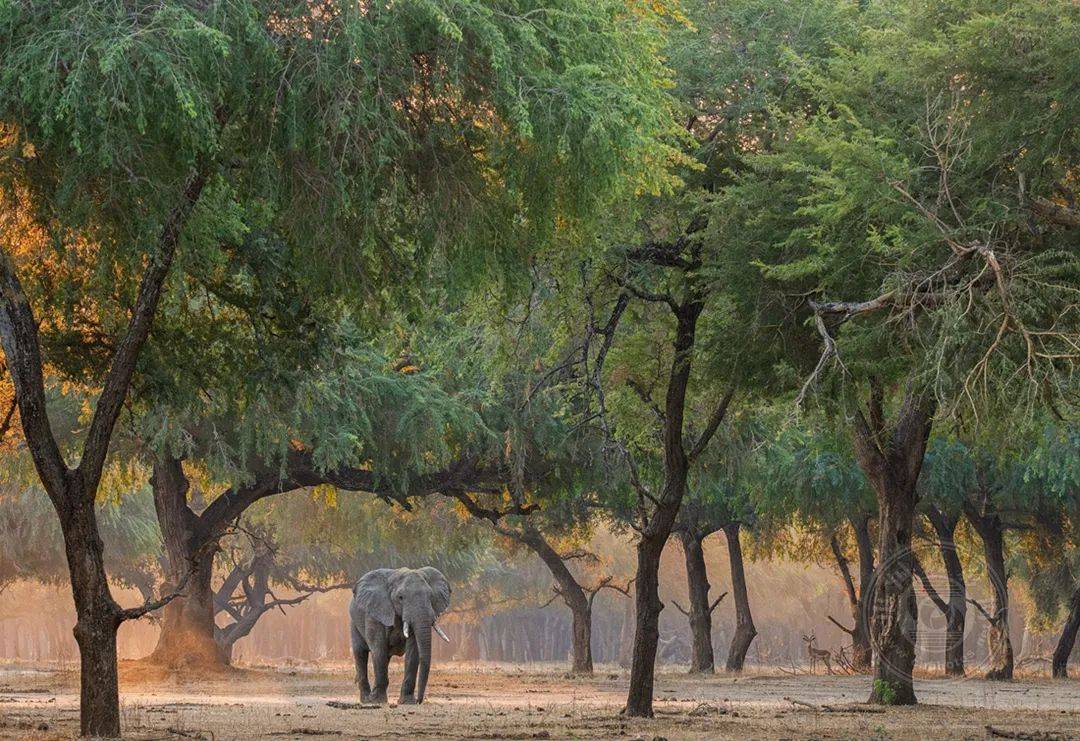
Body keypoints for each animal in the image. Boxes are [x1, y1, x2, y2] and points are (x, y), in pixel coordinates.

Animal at [345, 566, 447, 704]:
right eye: (400, 597)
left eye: (431, 596)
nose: (419, 701)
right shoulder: (375, 612)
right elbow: (378, 649)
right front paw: (378, 701)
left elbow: (413, 652)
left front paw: (407, 702)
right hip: (354, 623)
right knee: (360, 653)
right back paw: (366, 700)